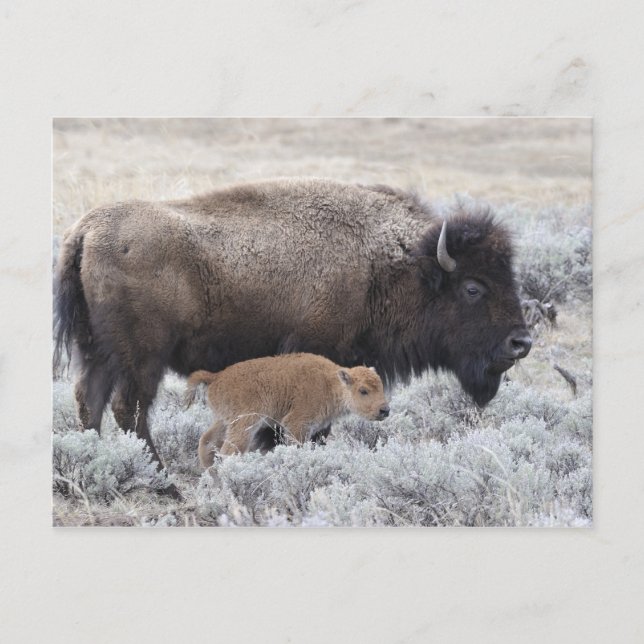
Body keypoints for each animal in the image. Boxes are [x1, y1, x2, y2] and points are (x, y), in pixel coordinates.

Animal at [184, 352, 390, 466]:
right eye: (363, 390)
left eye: (381, 386)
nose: (385, 410)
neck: (331, 383)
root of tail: (216, 376)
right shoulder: (296, 424)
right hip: (244, 424)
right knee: (228, 452)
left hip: (223, 421)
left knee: (206, 443)